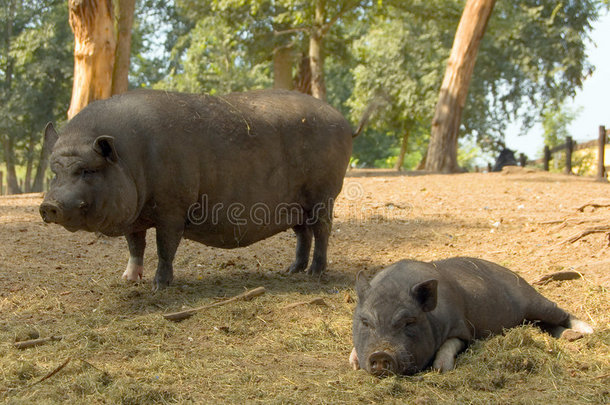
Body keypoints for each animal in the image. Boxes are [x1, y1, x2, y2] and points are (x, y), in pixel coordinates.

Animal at [350, 258, 592, 374]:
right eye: (365, 322)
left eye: (409, 322)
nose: (381, 354)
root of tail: (515, 274)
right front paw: (353, 362)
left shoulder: (463, 328)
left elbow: (452, 343)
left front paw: (440, 369)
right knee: (547, 325)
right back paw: (568, 336)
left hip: (534, 300)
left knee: (560, 313)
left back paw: (588, 330)